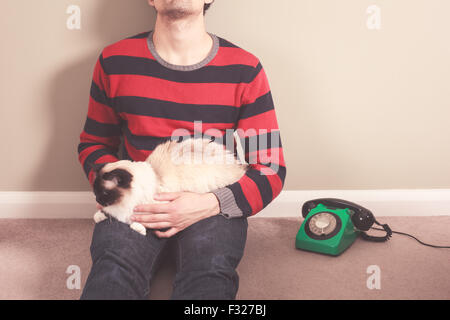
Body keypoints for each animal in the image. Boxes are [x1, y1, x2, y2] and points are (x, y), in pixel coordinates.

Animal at [91, 138, 246, 235]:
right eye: (95, 192)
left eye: (104, 193)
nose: (98, 200)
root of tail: (237, 164)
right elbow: (102, 214)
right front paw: (99, 215)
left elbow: (144, 223)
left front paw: (138, 228)